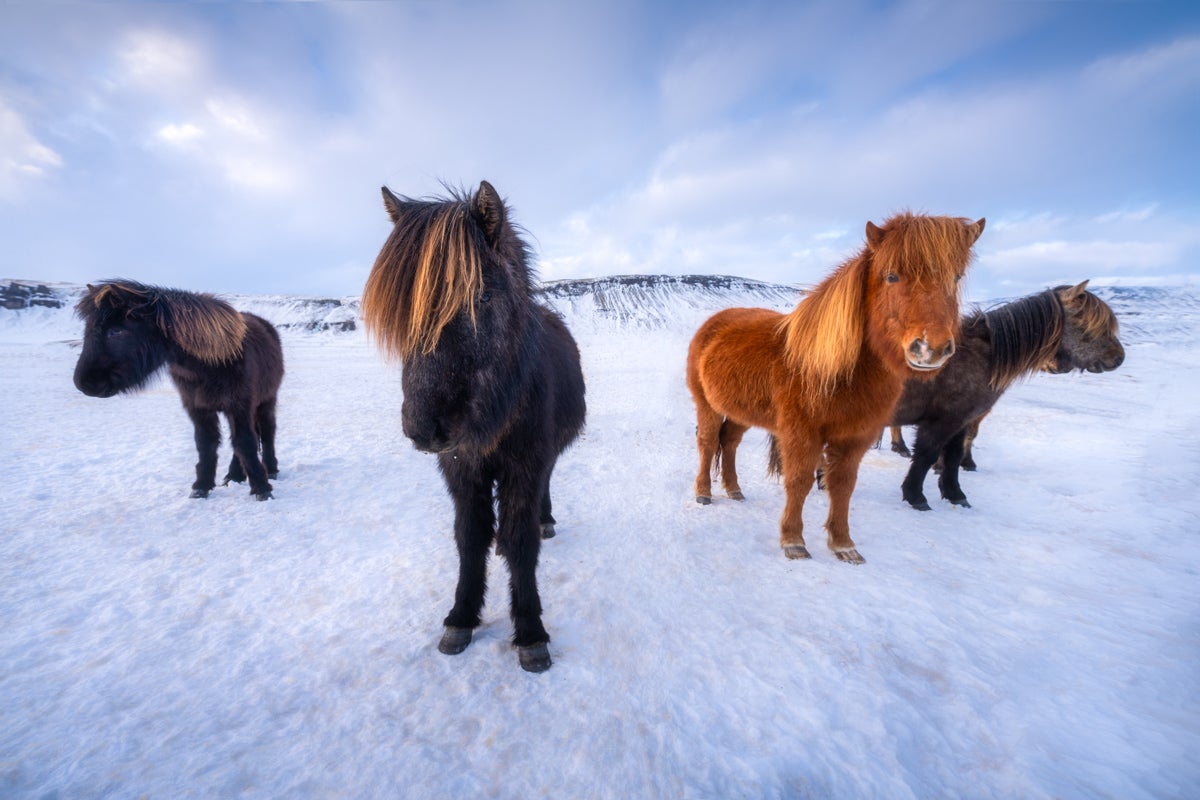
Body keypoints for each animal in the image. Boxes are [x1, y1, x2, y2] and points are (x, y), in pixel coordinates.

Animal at [73, 280, 284, 500]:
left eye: (115, 331)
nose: (82, 383)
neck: (212, 362)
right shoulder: (198, 408)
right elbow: (205, 444)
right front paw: (201, 487)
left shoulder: (240, 406)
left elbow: (245, 443)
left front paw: (262, 488)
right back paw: (234, 476)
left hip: (266, 401)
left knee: (267, 432)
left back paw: (270, 470)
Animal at [361, 181, 586, 673]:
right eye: (401, 311)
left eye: (480, 298)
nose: (422, 428)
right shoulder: (461, 467)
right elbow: (469, 537)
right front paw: (461, 616)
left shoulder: (526, 464)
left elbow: (521, 540)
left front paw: (530, 631)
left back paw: (546, 521)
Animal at [687, 212, 985, 564]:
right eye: (891, 276)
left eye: (956, 277)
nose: (931, 348)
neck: (834, 370)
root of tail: (713, 323)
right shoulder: (802, 434)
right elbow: (799, 482)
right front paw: (793, 541)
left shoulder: (856, 438)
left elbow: (843, 485)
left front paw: (843, 544)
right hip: (707, 405)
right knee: (708, 443)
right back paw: (703, 493)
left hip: (740, 412)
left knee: (729, 443)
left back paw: (734, 489)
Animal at [893, 280, 1124, 511]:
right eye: (1087, 323)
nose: (1119, 358)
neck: (979, 357)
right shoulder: (941, 422)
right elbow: (926, 455)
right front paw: (916, 496)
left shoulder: (961, 422)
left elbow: (953, 456)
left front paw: (955, 494)